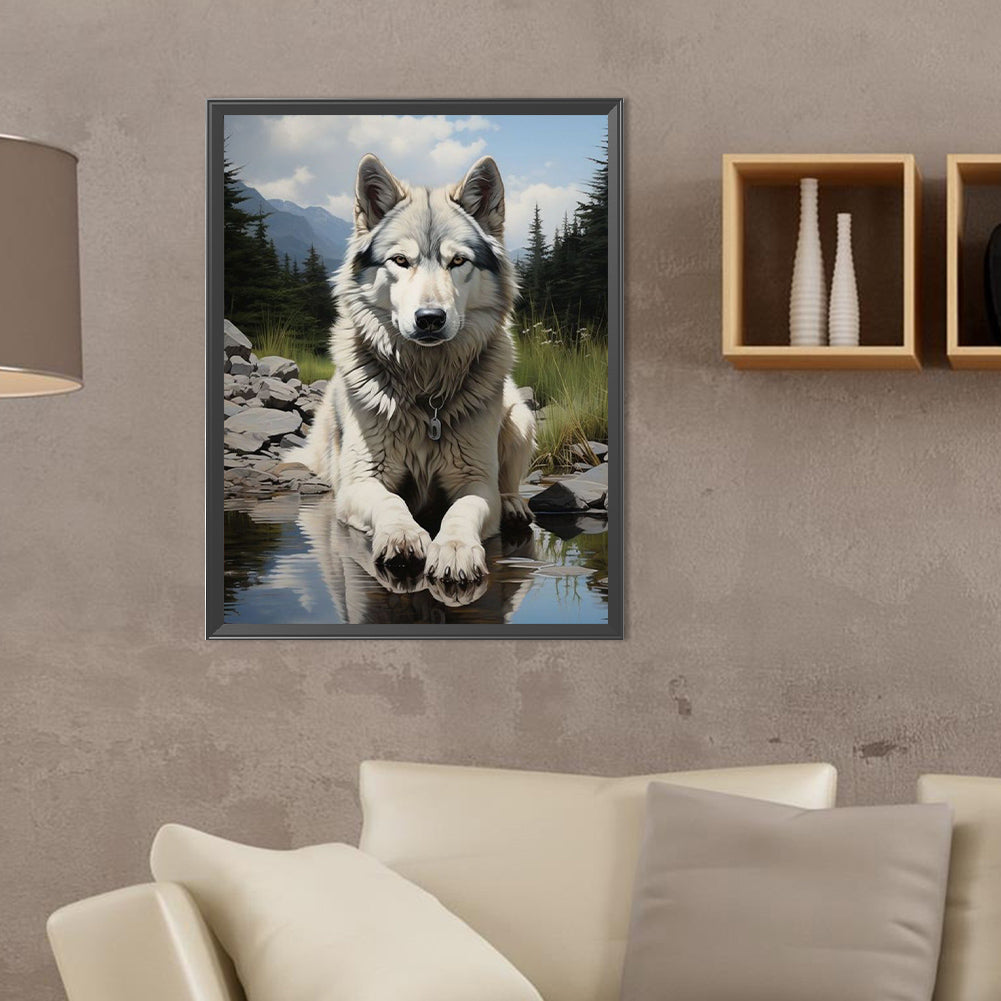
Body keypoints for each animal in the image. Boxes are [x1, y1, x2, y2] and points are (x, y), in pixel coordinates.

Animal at [290, 153, 536, 585]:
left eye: (458, 261)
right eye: (401, 261)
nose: (430, 319)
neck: (425, 390)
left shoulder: (475, 481)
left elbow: (462, 510)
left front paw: (454, 549)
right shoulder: (362, 481)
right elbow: (390, 502)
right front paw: (402, 535)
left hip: (519, 416)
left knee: (508, 481)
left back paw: (513, 505)